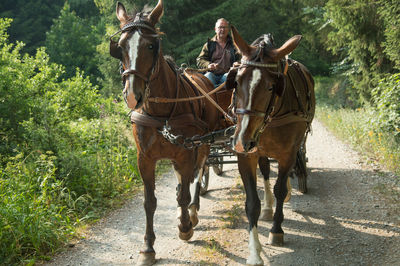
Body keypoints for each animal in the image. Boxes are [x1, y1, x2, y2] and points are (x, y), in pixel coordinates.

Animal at [109, 1, 234, 264]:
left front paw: (186, 227)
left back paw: (193, 212)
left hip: (203, 144)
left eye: (151, 45)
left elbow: (186, 192)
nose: (132, 96)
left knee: (199, 172)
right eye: (120, 47)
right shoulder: (145, 159)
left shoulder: (185, 153)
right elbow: (150, 202)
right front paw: (148, 247)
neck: (161, 113)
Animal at [228, 26, 316, 264]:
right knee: (267, 170)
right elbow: (252, 203)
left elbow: (279, 188)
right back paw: (269, 207)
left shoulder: (288, 153)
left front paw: (277, 230)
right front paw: (254, 252)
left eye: (270, 87)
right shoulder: (246, 155)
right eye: (236, 81)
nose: (242, 141)